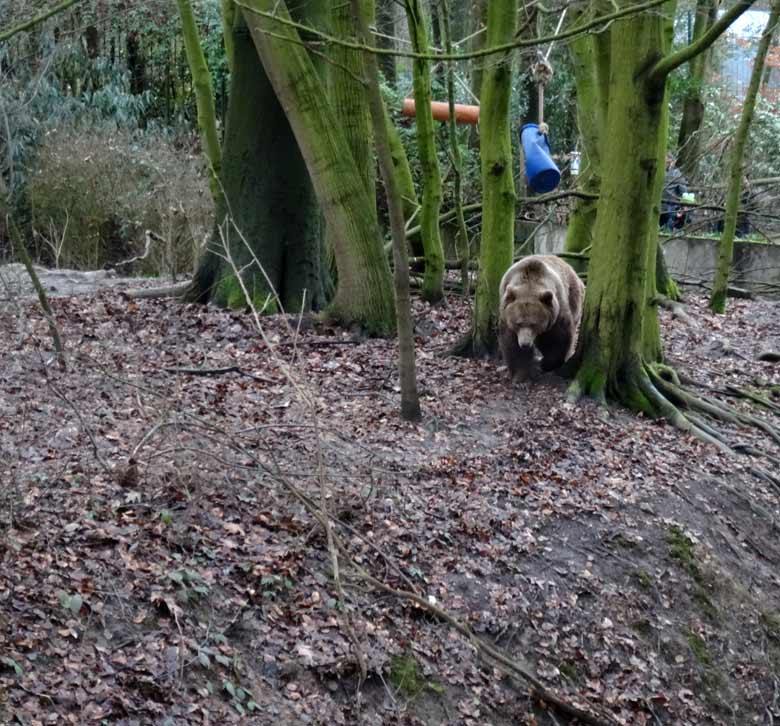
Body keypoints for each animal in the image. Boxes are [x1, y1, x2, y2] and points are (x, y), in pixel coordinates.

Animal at [500, 255, 584, 384]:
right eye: (518, 323)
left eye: (534, 324)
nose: (525, 344)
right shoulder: (507, 316)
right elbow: (512, 344)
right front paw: (521, 377)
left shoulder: (556, 312)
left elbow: (558, 339)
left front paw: (545, 364)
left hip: (574, 298)